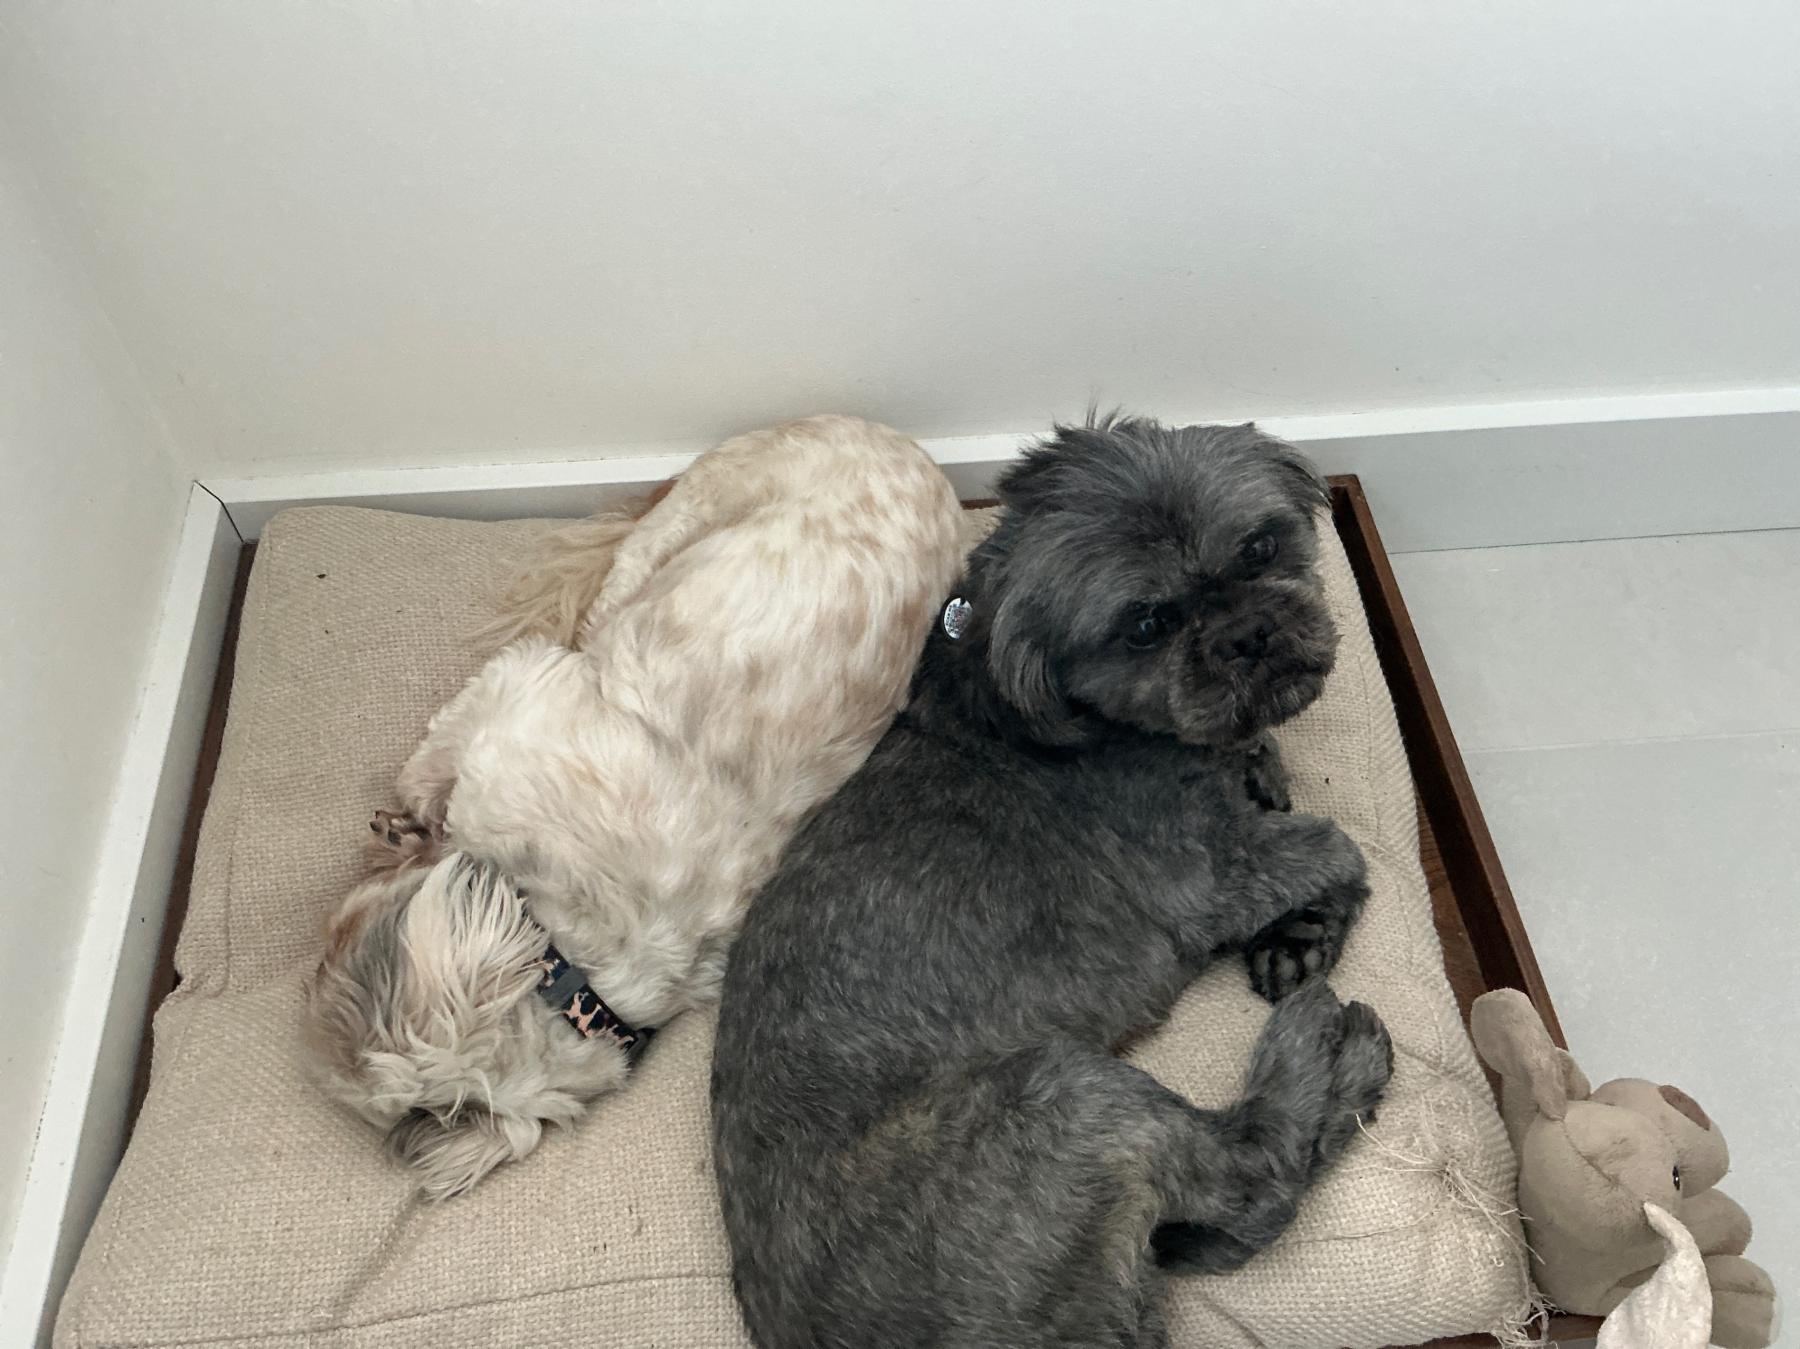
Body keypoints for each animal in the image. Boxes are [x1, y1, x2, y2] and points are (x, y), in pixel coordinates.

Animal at [305, 415, 965, 1199]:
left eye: (333, 957)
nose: (316, 960)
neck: (576, 962)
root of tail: (904, 446)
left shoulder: (516, 695)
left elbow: (432, 761)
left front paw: (409, 825)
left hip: (656, 551)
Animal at [711, 417, 1394, 1348]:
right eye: (1145, 623)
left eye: (1259, 548)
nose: (1249, 634)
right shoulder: (1207, 874)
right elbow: (1337, 844)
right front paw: (1313, 913)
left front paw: (1298, 919)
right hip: (1061, 1094)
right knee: (1252, 1173)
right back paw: (1327, 1058)